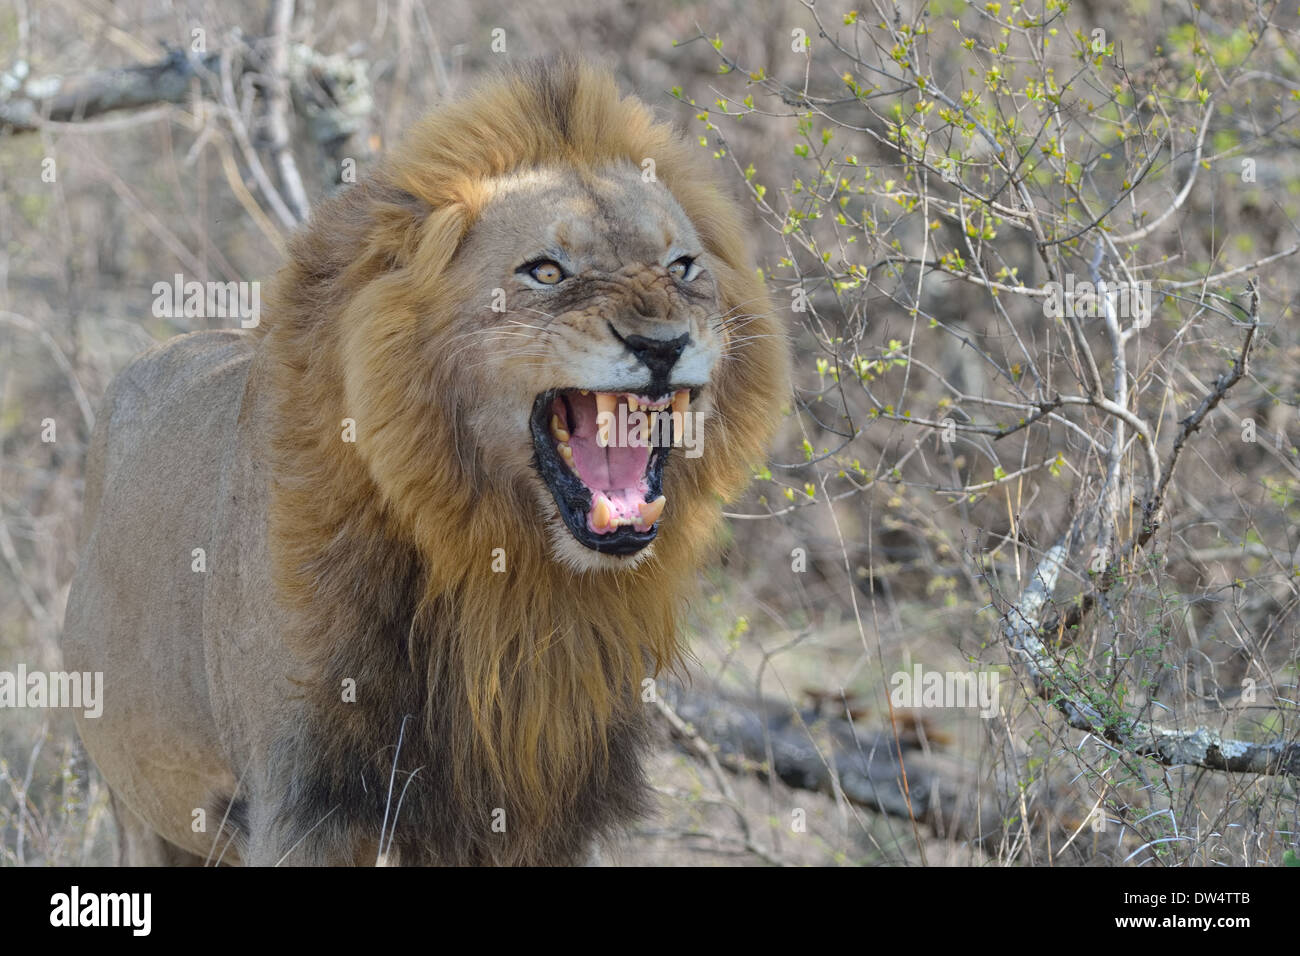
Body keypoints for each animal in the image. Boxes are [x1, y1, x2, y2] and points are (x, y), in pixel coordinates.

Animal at [62, 58, 789, 865]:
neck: (510, 572)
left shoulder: (535, 813)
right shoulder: (305, 806)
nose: (662, 344)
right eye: (546, 272)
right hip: (139, 807)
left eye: (683, 266)